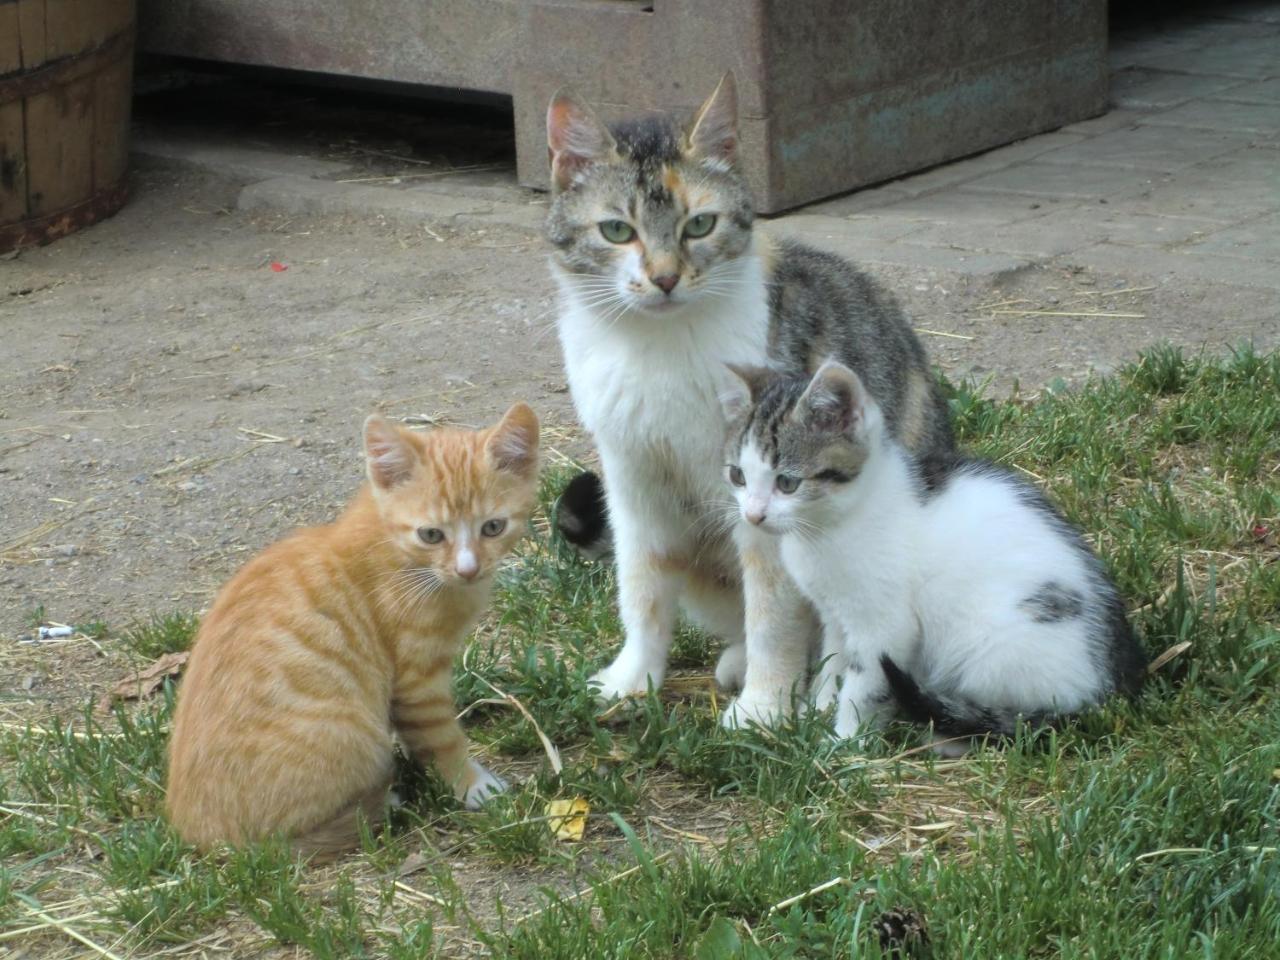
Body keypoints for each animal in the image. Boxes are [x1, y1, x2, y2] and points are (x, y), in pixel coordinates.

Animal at [166, 407, 540, 855]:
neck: (402, 554)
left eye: (493, 527)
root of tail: (208, 841)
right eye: (431, 534)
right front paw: (472, 785)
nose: (469, 569)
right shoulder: (418, 680)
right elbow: (440, 739)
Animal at [545, 75, 957, 727]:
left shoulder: (770, 493)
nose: (665, 278)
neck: (658, 347)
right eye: (616, 230)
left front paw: (764, 709)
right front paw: (632, 679)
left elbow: (774, 611)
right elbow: (641, 585)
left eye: (699, 225)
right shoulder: (632, 480)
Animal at [721, 360, 1152, 742]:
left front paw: (844, 742)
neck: (830, 527)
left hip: (992, 653)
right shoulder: (836, 615)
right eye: (737, 476)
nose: (753, 515)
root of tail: (1116, 683)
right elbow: (835, 661)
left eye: (787, 483)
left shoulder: (884, 625)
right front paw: (820, 707)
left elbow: (863, 685)